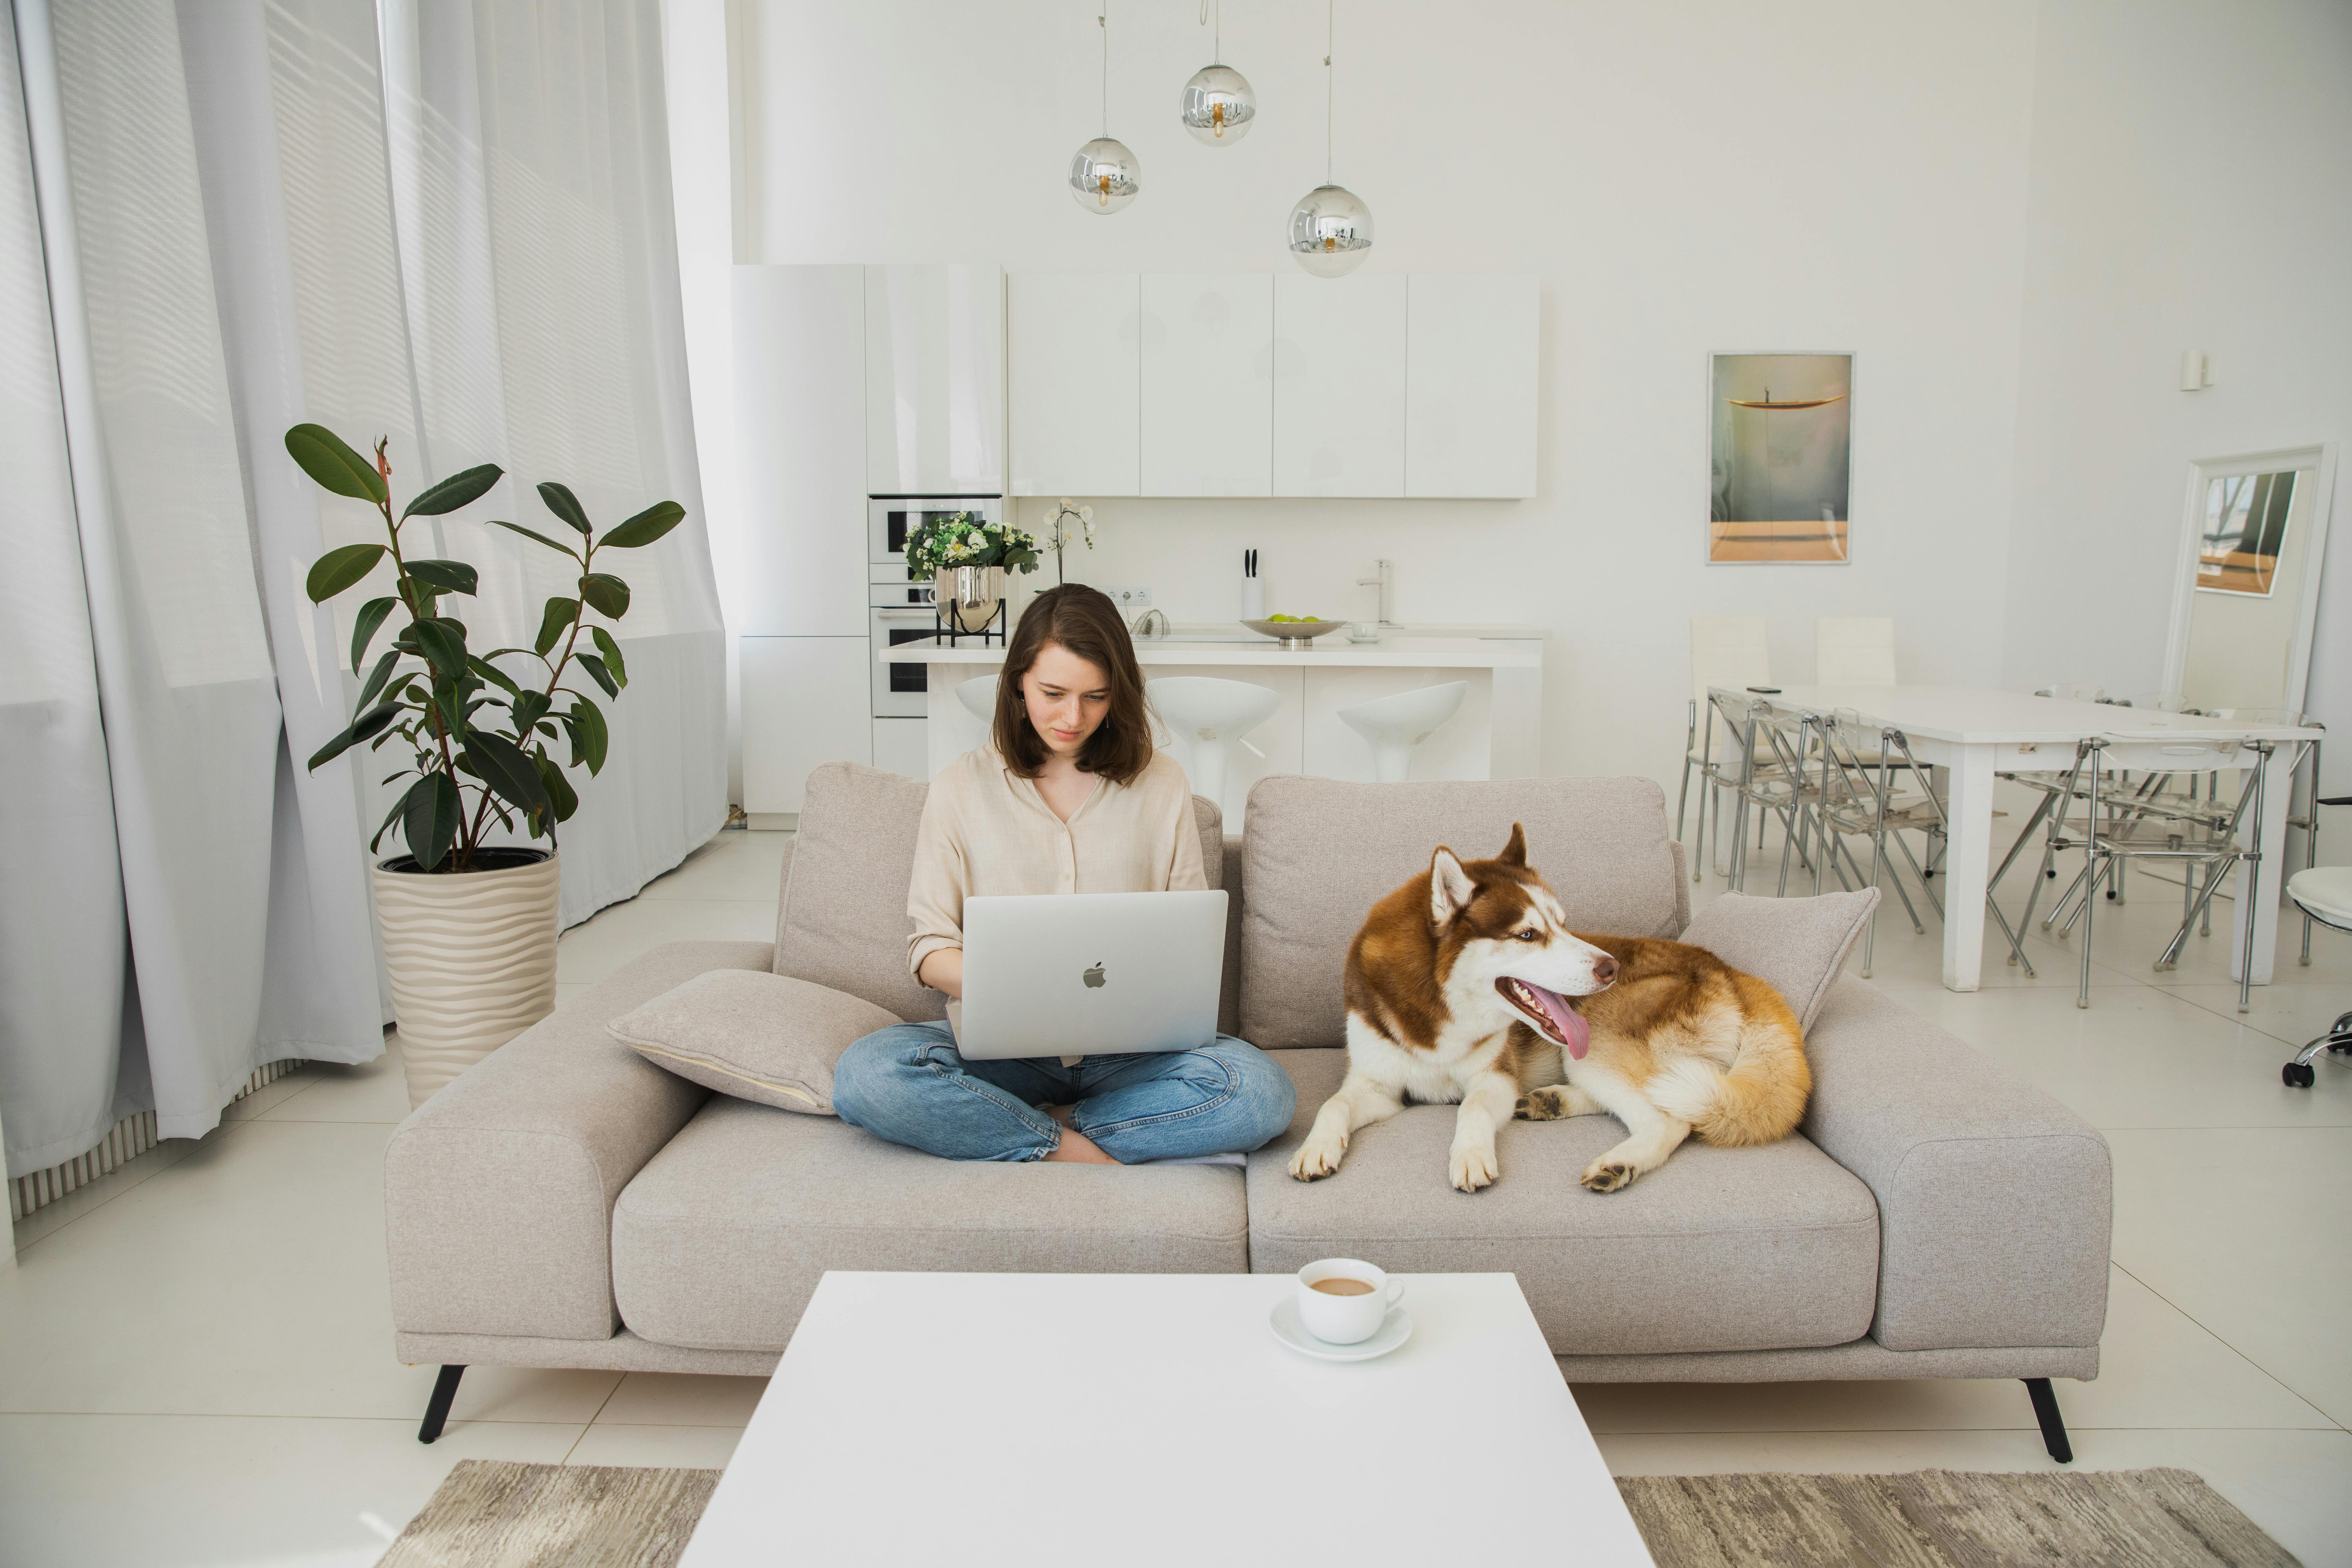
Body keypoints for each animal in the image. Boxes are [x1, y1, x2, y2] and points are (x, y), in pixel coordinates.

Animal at [1289, 827, 1815, 1194]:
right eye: (1528, 934)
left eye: (1563, 924)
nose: (1610, 967)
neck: (1440, 1006)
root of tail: (1730, 970)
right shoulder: (1377, 1086)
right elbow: (1335, 1104)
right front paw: (1316, 1147)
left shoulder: (1496, 1077)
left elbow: (1473, 1106)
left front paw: (1470, 1155)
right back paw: (1552, 1102)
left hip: (1601, 1041)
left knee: (1670, 1118)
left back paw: (1619, 1162)